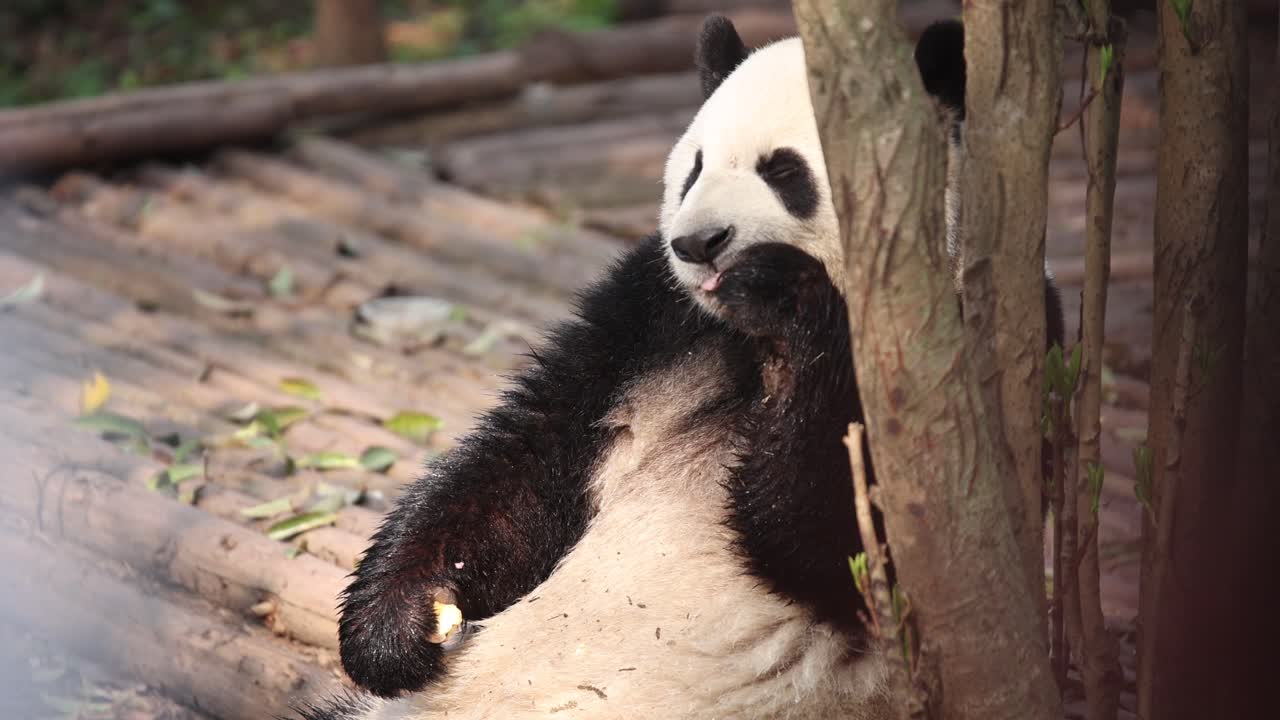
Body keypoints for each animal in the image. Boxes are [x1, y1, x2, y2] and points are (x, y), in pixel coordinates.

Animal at [296, 15, 1064, 720]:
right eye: (694, 167)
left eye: (784, 172)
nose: (699, 242)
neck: (752, 336)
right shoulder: (656, 315)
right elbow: (533, 451)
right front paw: (398, 626)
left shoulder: (961, 348)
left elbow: (861, 548)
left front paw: (787, 293)